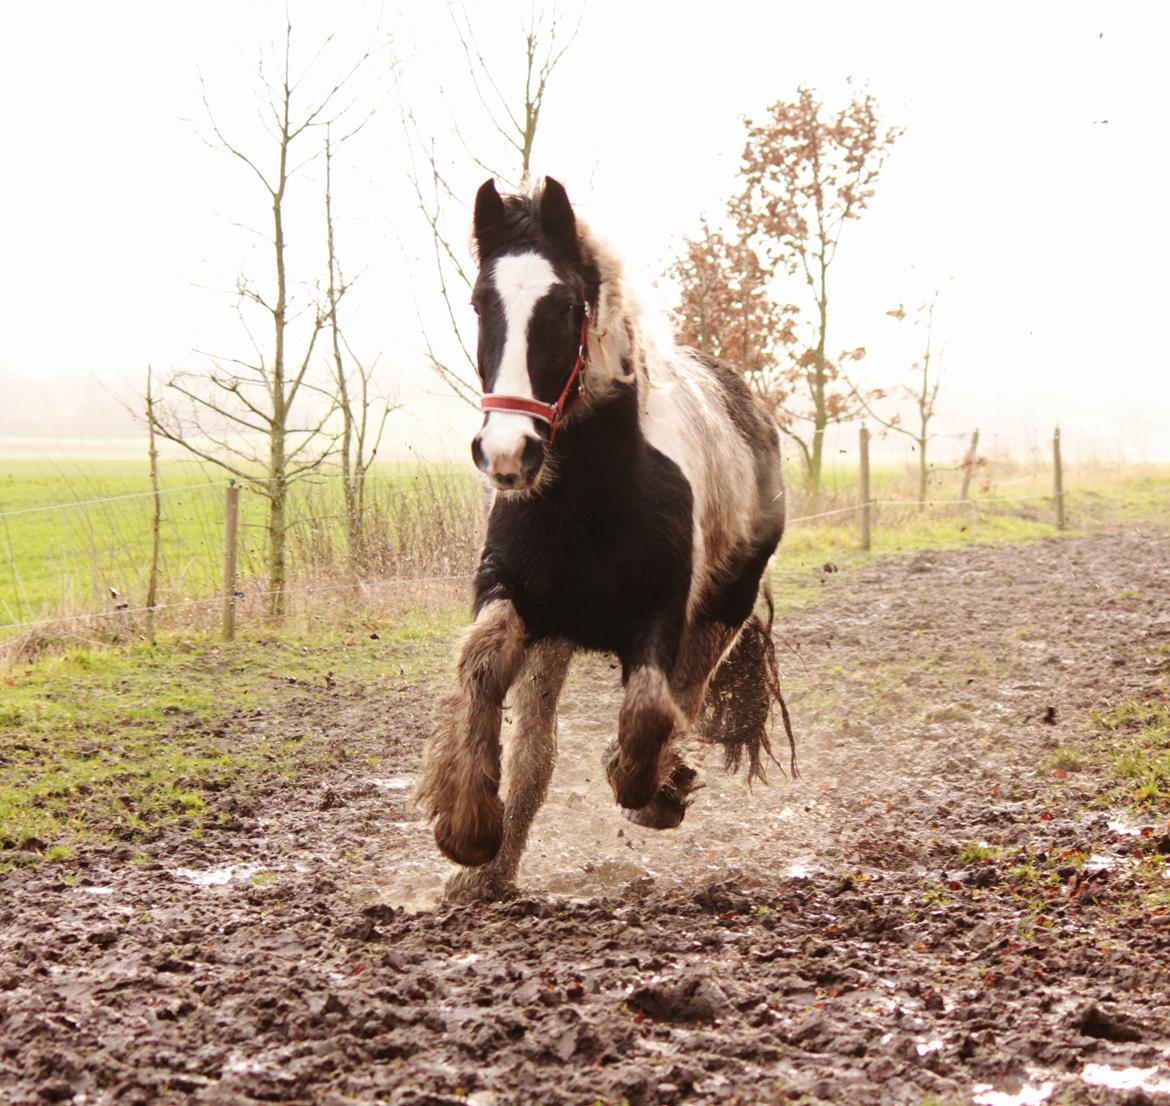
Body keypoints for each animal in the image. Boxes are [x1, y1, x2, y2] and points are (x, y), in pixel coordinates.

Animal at [416, 173, 790, 898]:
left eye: (564, 306)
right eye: (480, 303)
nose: (507, 453)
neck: (585, 502)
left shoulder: (661, 614)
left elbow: (650, 712)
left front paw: (648, 786)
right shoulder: (515, 593)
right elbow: (484, 664)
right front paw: (468, 832)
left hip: (724, 607)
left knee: (687, 695)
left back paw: (662, 790)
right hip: (558, 636)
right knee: (537, 752)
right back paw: (492, 875)